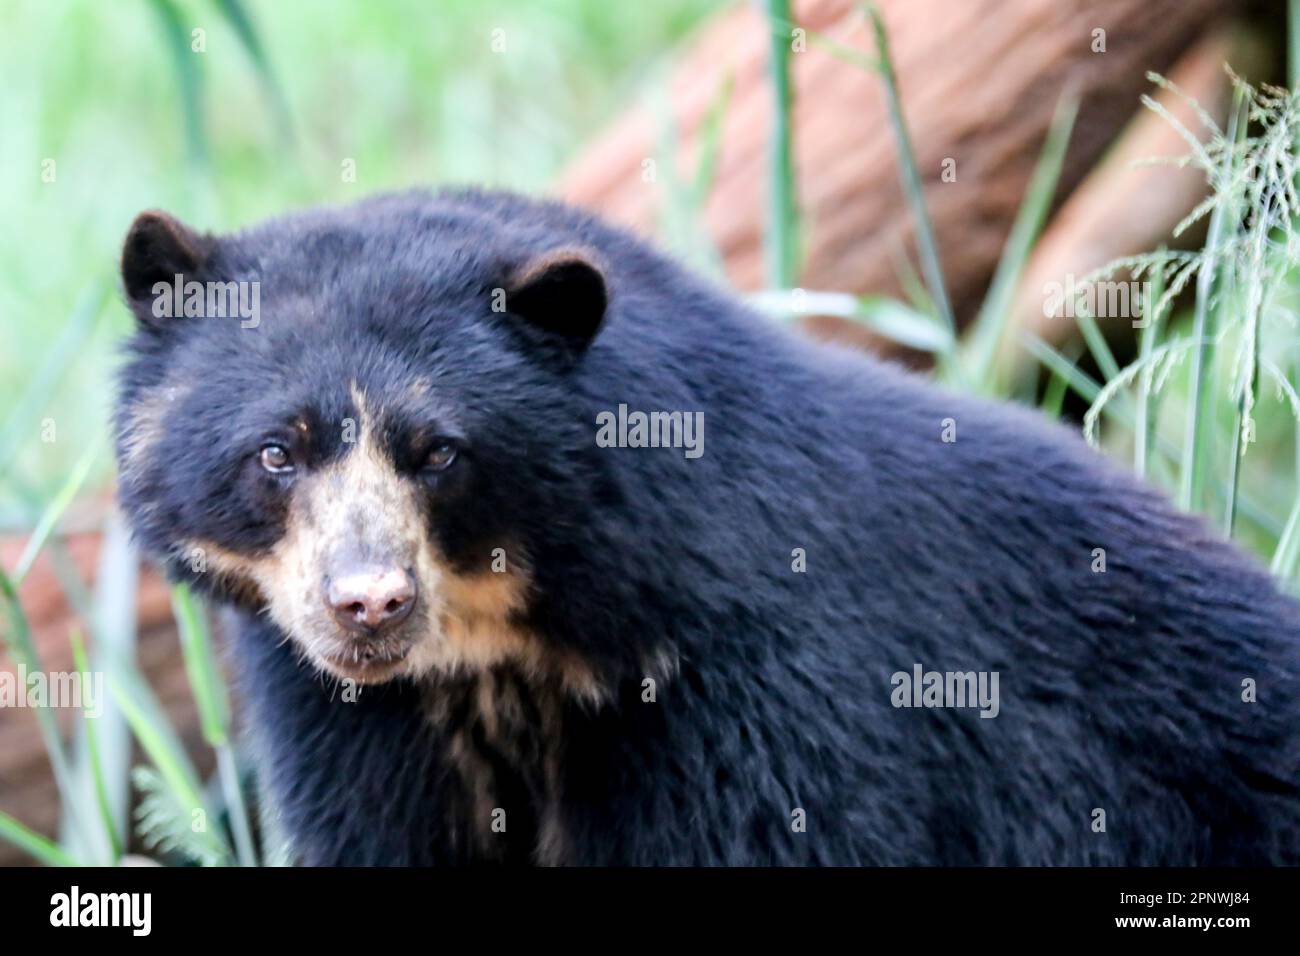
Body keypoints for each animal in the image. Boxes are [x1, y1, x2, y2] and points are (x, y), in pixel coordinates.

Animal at [113, 187, 1300, 865]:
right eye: (278, 450)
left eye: (438, 451)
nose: (368, 603)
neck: (511, 640)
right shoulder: (356, 716)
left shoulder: (756, 694)